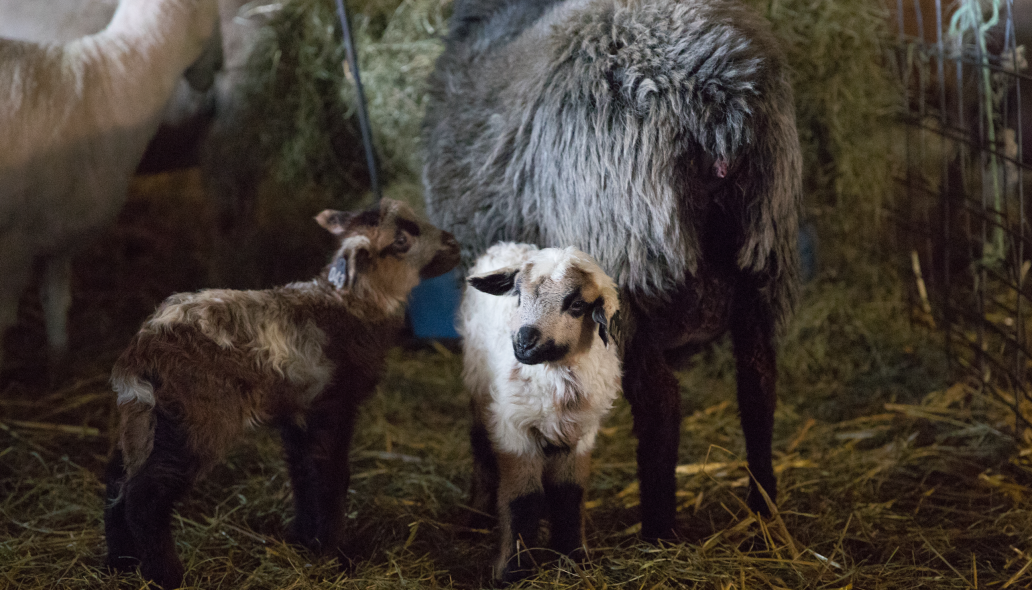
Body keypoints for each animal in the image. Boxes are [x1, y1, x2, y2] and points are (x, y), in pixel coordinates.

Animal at [0, 0, 223, 374]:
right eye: (216, 14)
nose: (218, 66)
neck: (114, 77)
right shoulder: (15, 243)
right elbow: (11, 315)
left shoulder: (57, 229)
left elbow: (55, 299)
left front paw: (59, 358)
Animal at [103, 198, 461, 589]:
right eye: (400, 241)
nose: (454, 243)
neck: (352, 307)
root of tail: (141, 352)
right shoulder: (333, 406)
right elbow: (331, 476)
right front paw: (333, 552)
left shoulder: (297, 412)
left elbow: (302, 473)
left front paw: (304, 540)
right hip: (193, 420)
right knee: (145, 497)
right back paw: (166, 576)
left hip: (141, 419)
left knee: (117, 484)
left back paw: (119, 564)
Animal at [423, 0, 803, 541]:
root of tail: (720, 93)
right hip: (764, 256)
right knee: (758, 385)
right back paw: (763, 507)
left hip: (629, 267)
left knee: (662, 401)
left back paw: (658, 529)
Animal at [461, 242, 621, 583]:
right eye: (518, 295)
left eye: (576, 304)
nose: (523, 341)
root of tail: (508, 244)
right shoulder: (514, 428)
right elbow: (522, 499)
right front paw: (512, 571)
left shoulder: (581, 433)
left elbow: (569, 494)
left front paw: (575, 558)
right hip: (478, 386)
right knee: (480, 448)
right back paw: (477, 516)